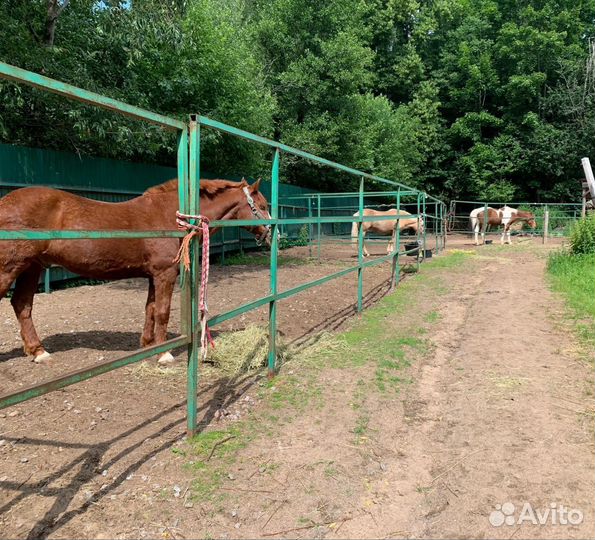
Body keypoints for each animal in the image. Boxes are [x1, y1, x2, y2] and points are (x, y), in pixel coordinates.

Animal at [0, 179, 272, 364]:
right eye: (262, 205)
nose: (272, 234)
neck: (169, 216)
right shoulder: (164, 274)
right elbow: (162, 312)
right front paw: (164, 354)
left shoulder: (153, 276)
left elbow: (150, 310)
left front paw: (147, 345)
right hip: (10, 269)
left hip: (31, 267)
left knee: (22, 304)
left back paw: (38, 351)